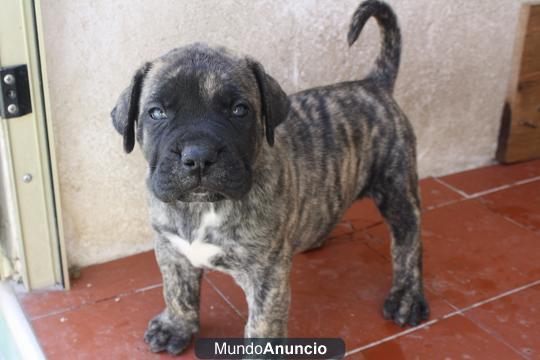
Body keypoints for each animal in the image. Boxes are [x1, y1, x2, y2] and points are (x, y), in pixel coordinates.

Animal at [110, 0, 430, 354]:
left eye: (239, 110)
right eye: (156, 113)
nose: (198, 156)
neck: (202, 208)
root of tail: (373, 84)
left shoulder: (265, 275)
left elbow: (263, 325)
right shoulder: (170, 249)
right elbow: (177, 291)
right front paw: (175, 326)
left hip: (397, 189)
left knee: (408, 243)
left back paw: (407, 298)